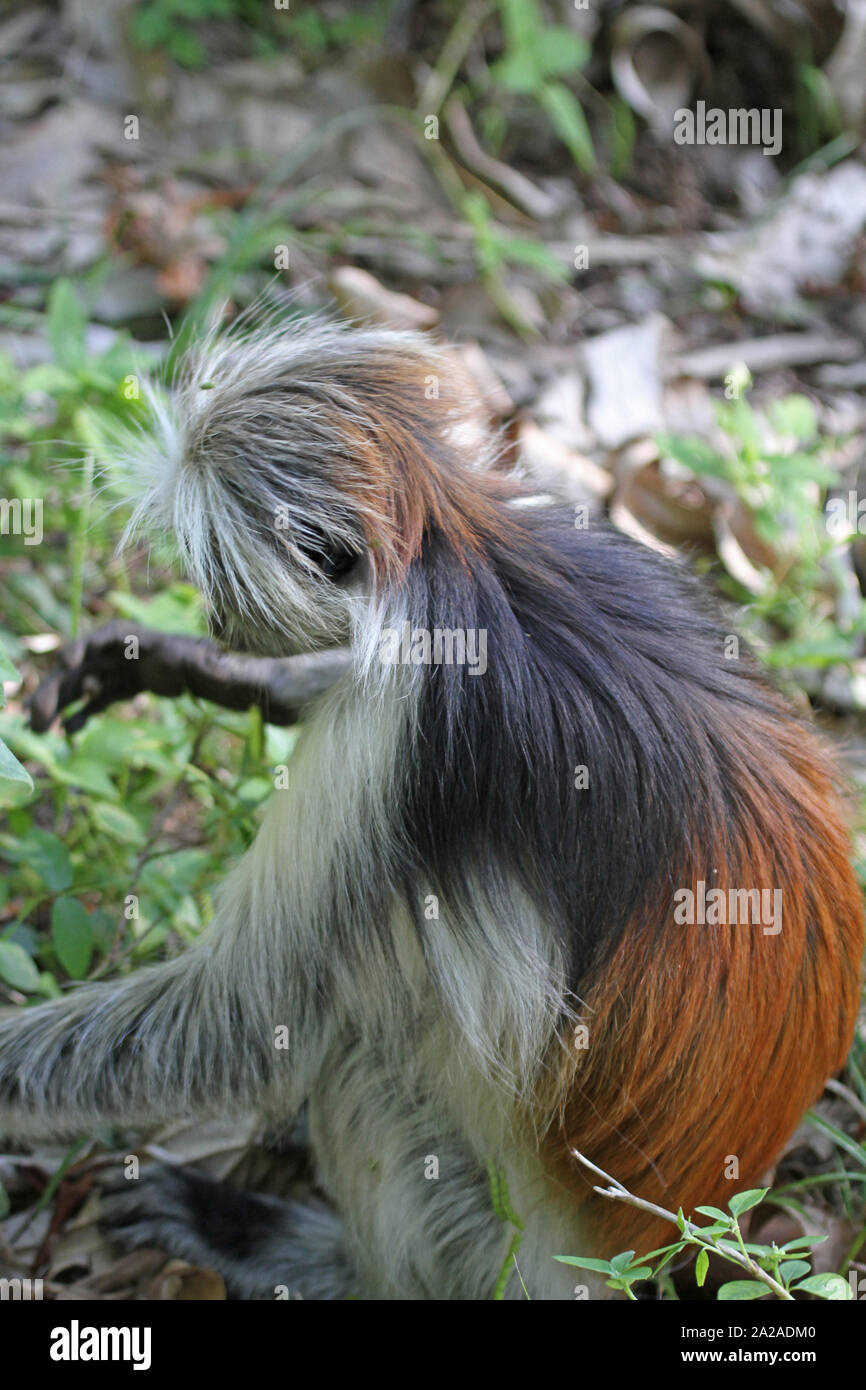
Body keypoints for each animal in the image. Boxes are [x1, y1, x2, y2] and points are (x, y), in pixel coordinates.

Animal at [0, 313, 862, 1300]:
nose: (215, 624)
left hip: (498, 1249)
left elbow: (247, 1021)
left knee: (356, 1063)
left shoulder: (398, 726)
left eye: (216, 571)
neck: (462, 558)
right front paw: (204, 672)